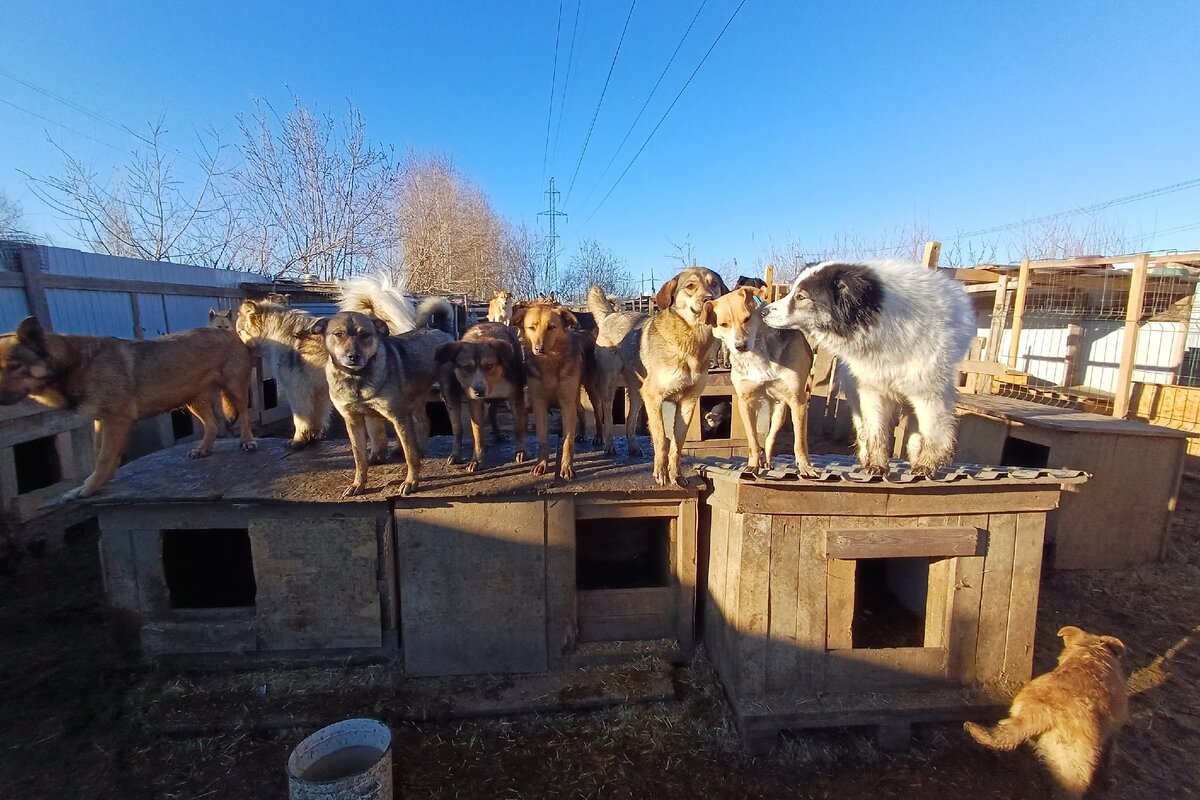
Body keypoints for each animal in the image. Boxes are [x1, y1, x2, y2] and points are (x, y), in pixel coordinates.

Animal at [312, 311, 451, 494]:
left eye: (365, 334)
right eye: (338, 334)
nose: (353, 356)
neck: (357, 378)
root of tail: (438, 330)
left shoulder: (399, 416)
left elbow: (409, 454)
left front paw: (411, 481)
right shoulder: (352, 420)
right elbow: (359, 457)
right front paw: (358, 484)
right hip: (416, 398)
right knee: (424, 422)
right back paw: (420, 450)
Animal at [434, 321, 523, 472]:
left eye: (489, 365)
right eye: (467, 367)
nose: (479, 391)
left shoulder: (515, 395)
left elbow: (518, 427)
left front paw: (521, 451)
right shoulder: (474, 402)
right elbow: (478, 433)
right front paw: (477, 460)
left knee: (492, 411)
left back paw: (497, 433)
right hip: (450, 393)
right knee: (457, 428)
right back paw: (456, 454)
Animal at [700, 287, 816, 474]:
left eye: (747, 318)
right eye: (724, 324)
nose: (740, 346)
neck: (758, 354)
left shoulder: (798, 401)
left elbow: (799, 441)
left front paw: (805, 467)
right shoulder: (745, 402)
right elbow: (753, 440)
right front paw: (752, 465)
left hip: (780, 410)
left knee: (770, 437)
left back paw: (768, 460)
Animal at [763, 261, 979, 474]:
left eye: (801, 296)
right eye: (792, 292)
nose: (764, 311)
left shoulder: (928, 392)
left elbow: (932, 430)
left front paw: (926, 463)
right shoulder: (872, 390)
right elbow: (876, 431)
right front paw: (877, 464)